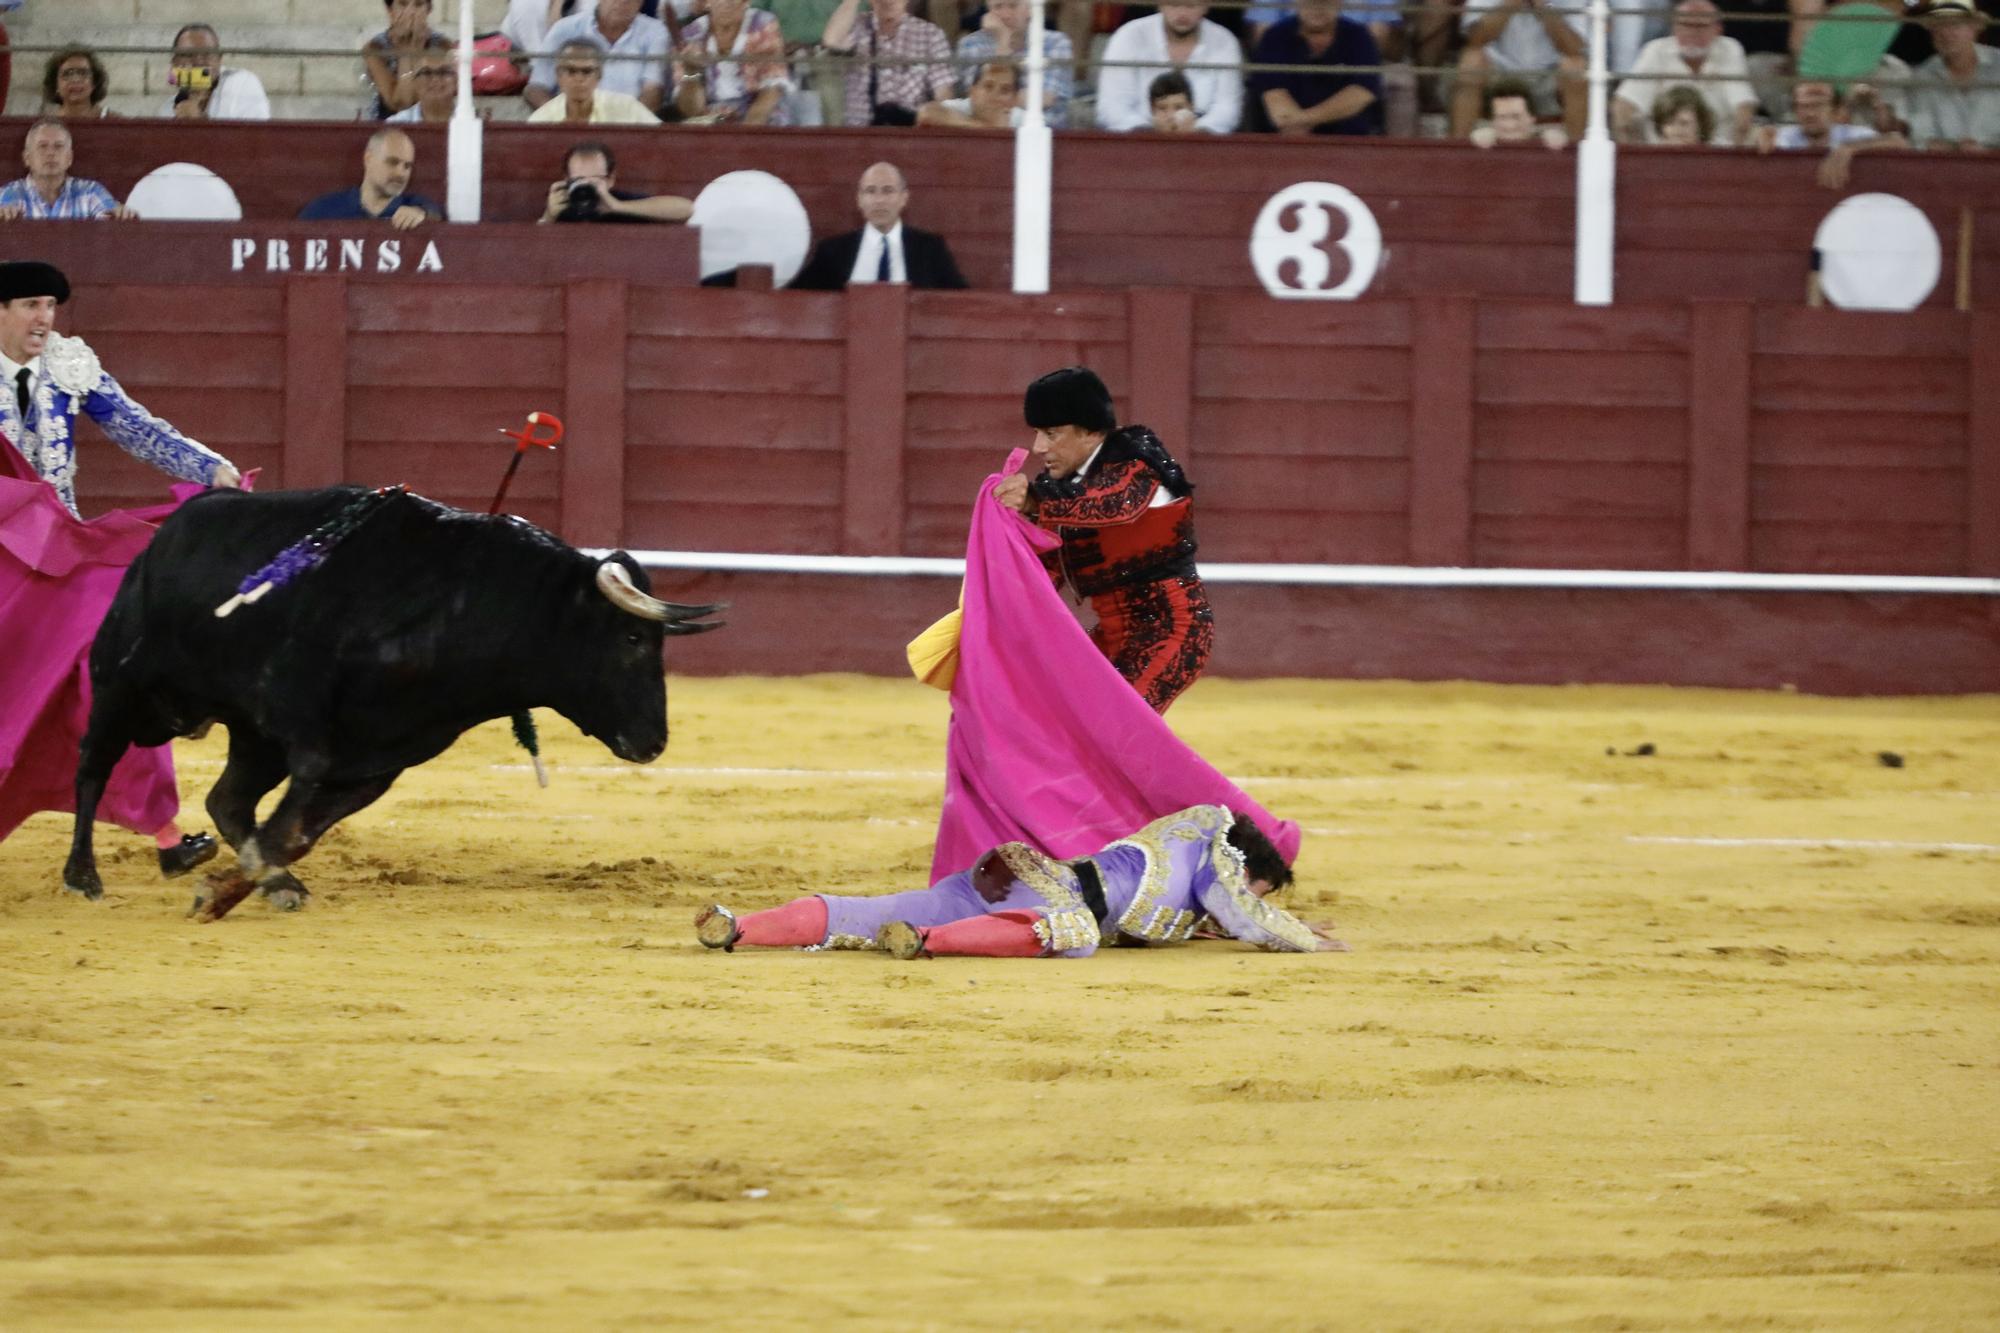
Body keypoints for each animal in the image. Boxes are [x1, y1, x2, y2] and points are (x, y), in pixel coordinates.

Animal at [62, 482, 728, 920]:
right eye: (634, 638)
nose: (653, 742)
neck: (459, 604)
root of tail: (166, 534)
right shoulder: (304, 722)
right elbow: (293, 812)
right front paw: (224, 893)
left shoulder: (384, 756)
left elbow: (294, 830)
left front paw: (247, 885)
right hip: (120, 688)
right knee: (93, 768)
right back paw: (82, 877)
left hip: (250, 737)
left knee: (226, 800)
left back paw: (272, 882)